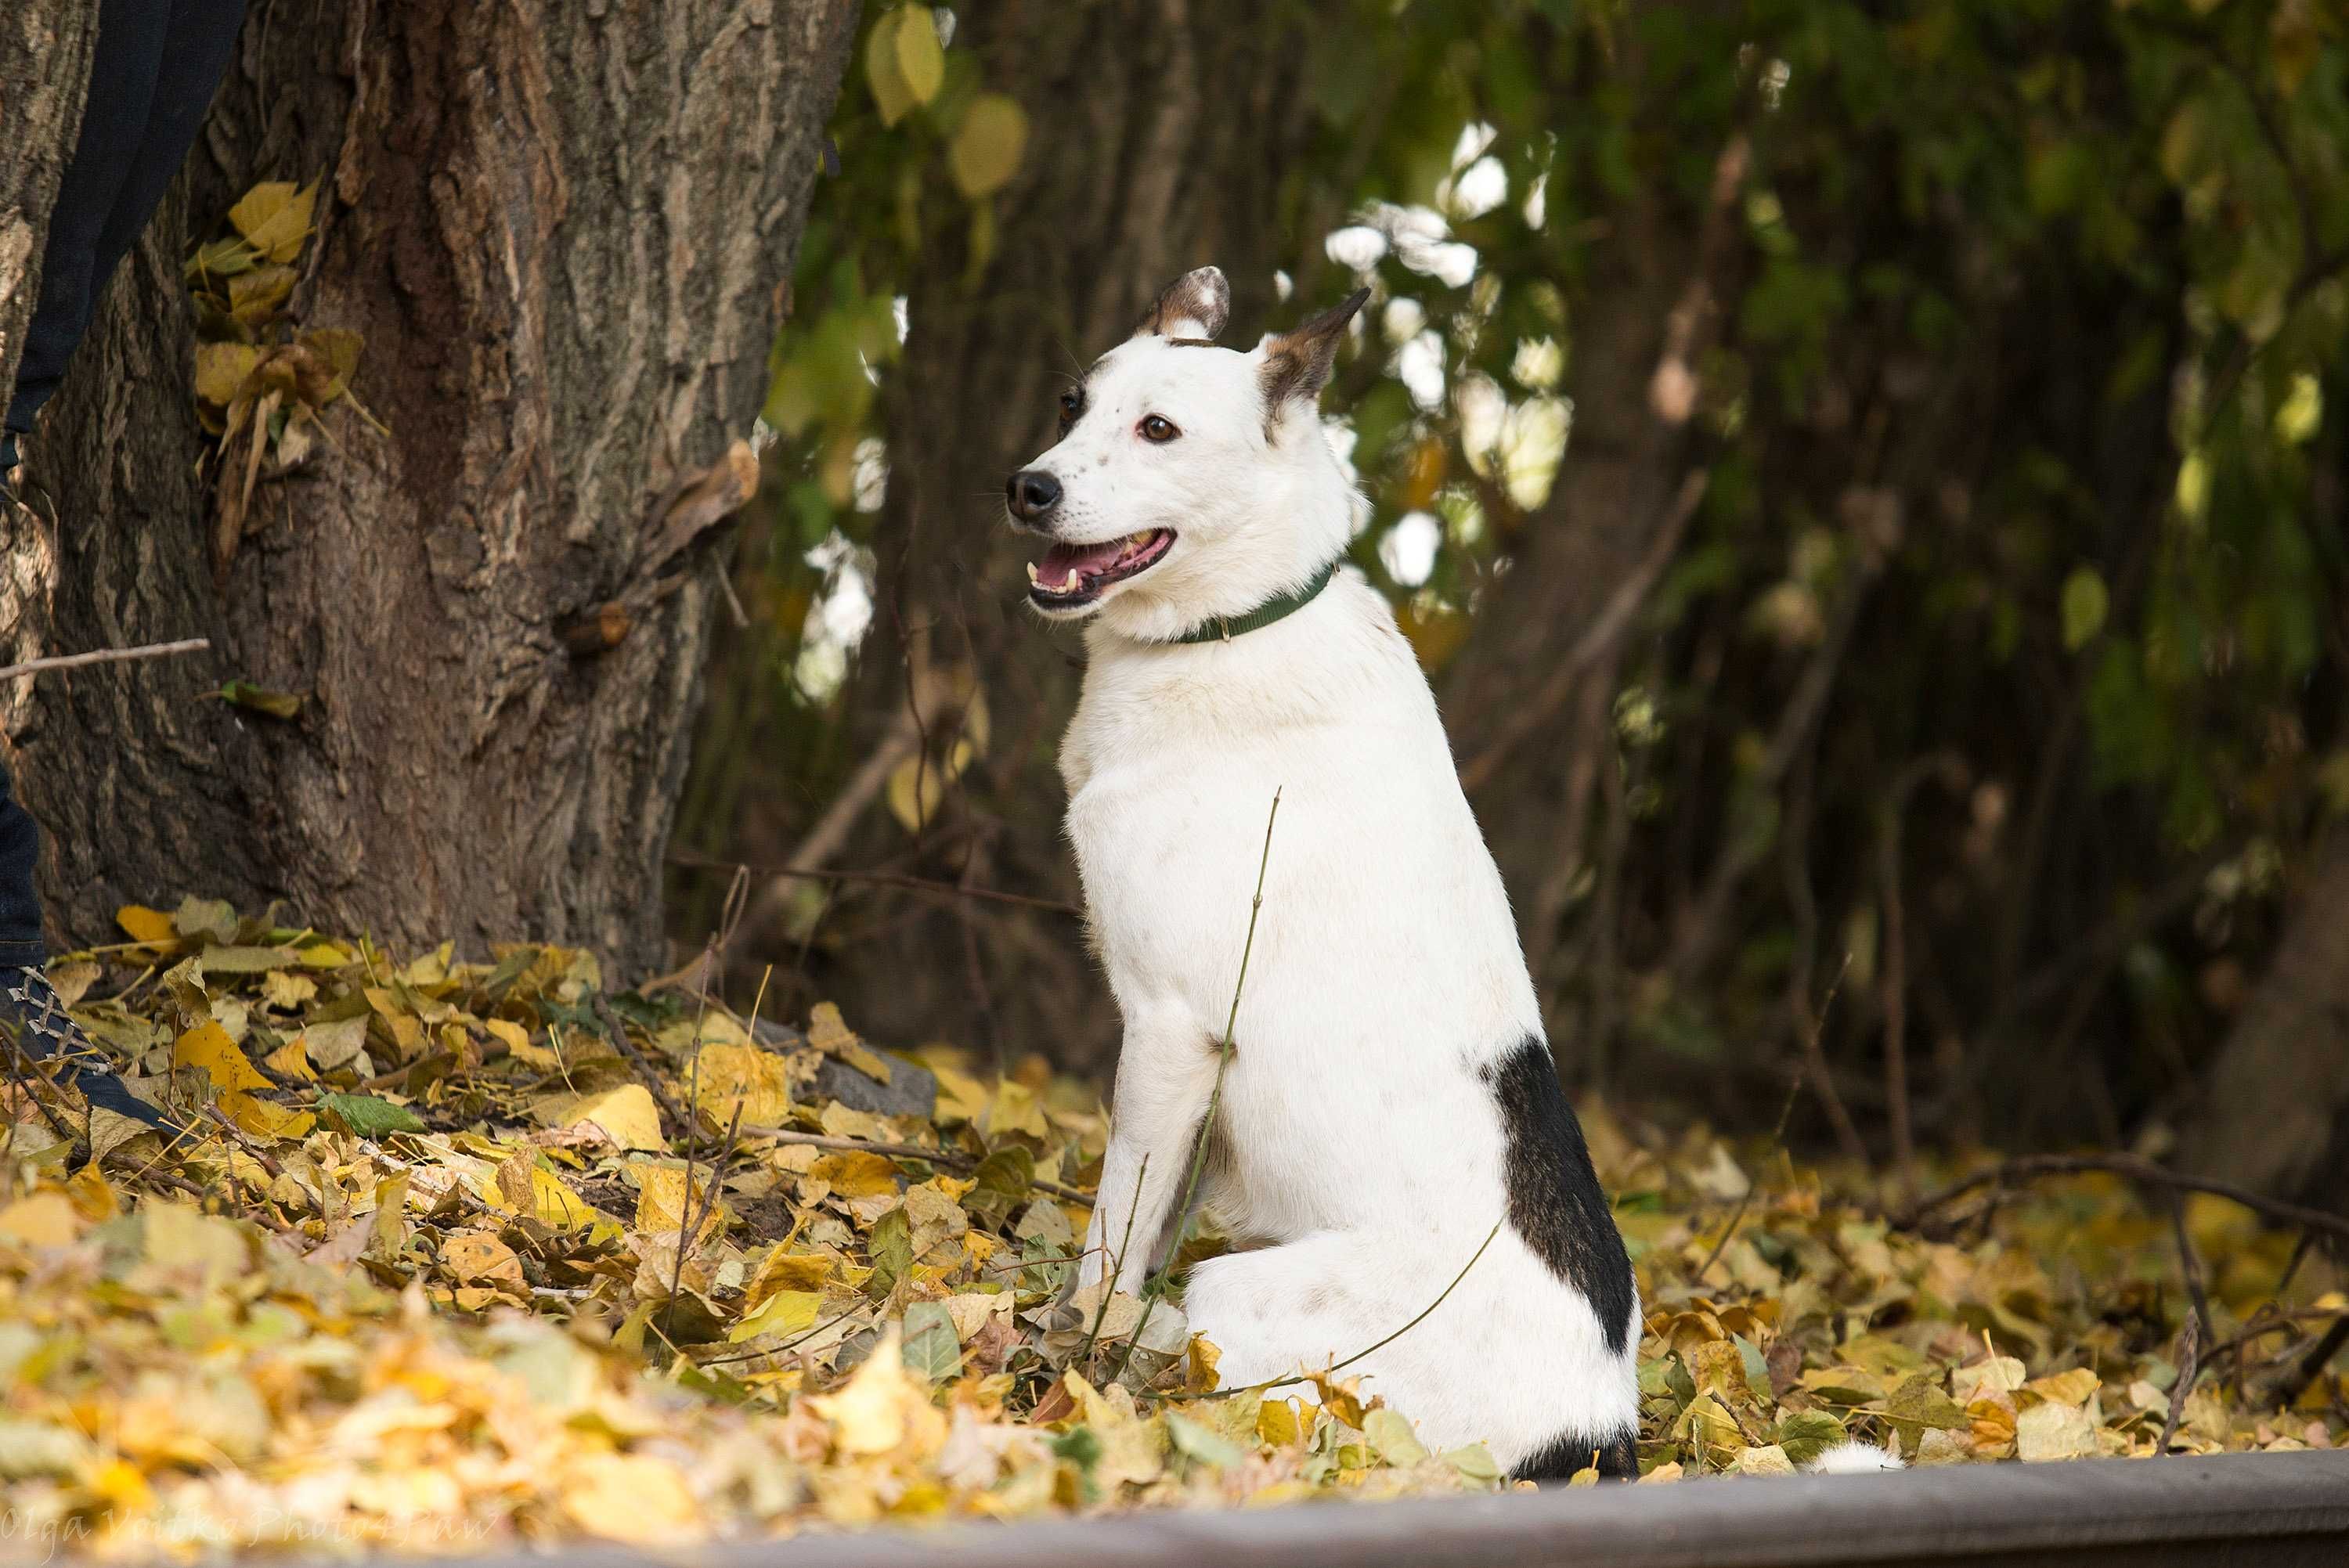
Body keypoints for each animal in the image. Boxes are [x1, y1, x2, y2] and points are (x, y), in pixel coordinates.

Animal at [1001, 262, 1644, 1474]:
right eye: (1073, 403)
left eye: (1158, 429)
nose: (1028, 488)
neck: (1234, 626)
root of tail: (1595, 1433)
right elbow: (1153, 1214)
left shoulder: (1169, 1030)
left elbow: (1117, 1230)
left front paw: (1075, 1333)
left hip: (1249, 1297)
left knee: (1216, 1351)